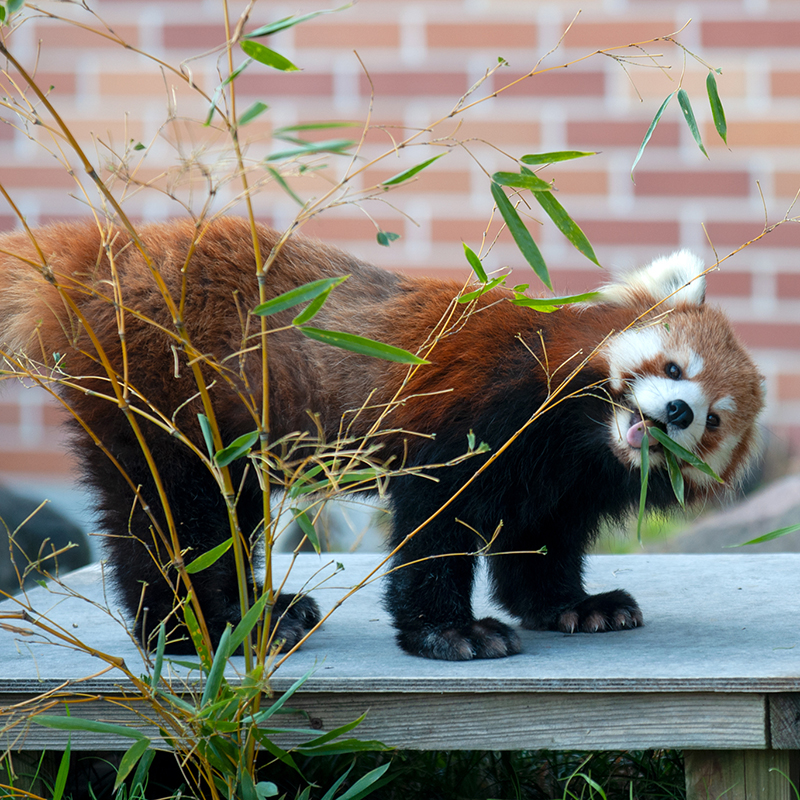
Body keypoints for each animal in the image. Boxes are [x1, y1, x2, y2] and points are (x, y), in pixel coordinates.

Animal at [0, 216, 764, 660]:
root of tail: (99, 254)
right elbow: (434, 523)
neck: (581, 440)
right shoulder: (481, 411)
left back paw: (263, 610)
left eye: (711, 420)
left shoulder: (562, 484)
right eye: (675, 368)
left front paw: (576, 606)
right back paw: (201, 630)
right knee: (171, 514)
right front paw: (451, 631)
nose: (673, 411)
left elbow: (539, 543)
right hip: (169, 392)